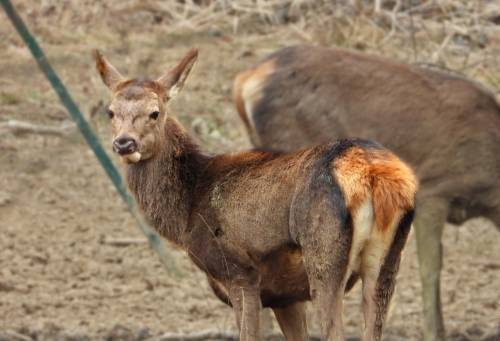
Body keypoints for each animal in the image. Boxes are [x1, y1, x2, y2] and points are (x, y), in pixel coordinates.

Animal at [95, 48, 420, 340]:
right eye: (111, 112)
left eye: (155, 112)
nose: (124, 143)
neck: (187, 210)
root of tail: (374, 175)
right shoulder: (285, 296)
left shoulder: (239, 274)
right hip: (387, 260)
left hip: (324, 256)